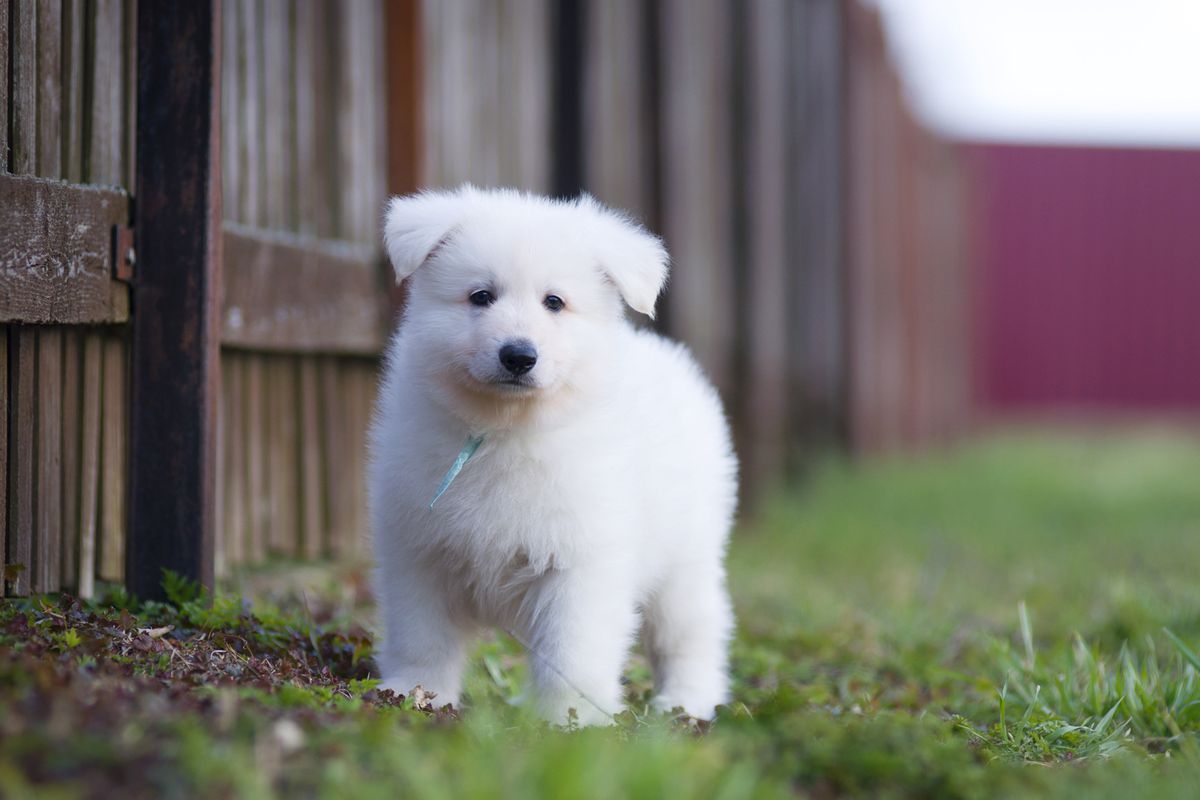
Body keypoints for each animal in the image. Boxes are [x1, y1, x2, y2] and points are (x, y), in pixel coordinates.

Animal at [369, 185, 734, 724]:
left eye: (554, 302)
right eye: (481, 296)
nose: (518, 356)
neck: (506, 430)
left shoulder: (582, 565)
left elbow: (572, 652)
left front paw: (570, 722)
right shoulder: (419, 554)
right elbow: (422, 637)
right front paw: (416, 694)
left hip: (685, 561)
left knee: (691, 633)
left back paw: (687, 702)